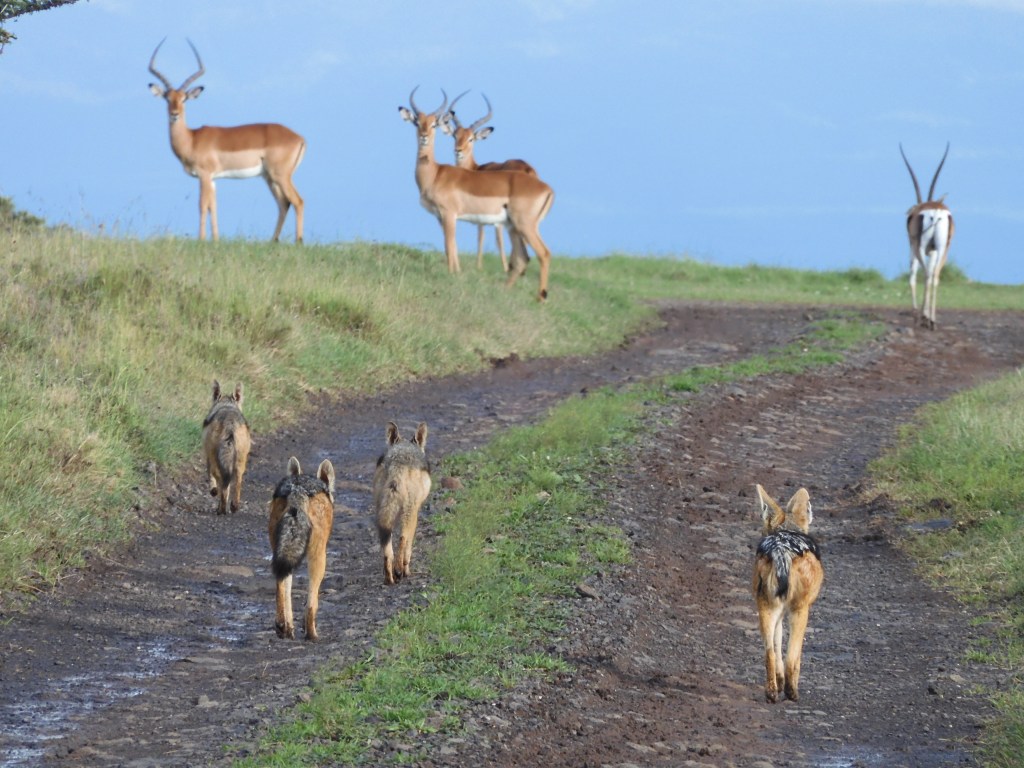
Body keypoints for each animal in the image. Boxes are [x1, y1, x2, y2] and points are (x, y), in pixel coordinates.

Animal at [148, 39, 306, 243]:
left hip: (280, 176)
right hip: (269, 177)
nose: (174, 114)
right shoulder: (213, 179)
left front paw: (201, 239)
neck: (192, 139)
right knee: (283, 203)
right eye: (167, 98)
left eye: (184, 99)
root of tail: (298, 137)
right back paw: (273, 241)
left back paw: (298, 242)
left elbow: (202, 205)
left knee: (297, 201)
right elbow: (213, 206)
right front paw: (215, 240)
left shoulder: (204, 175)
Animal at [441, 92, 539, 271]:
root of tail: (528, 169)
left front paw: (481, 266)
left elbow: (484, 236)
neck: (476, 168)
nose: (458, 151)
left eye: (471, 138)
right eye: (455, 136)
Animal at [752, 484, 824, 703]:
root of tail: (781, 549)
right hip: (799, 612)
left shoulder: (778, 614)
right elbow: (794, 659)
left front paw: (779, 681)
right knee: (792, 658)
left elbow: (776, 652)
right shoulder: (796, 611)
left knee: (769, 654)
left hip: (766, 609)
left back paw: (772, 693)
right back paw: (793, 694)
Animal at [900, 143, 955, 330]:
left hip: (920, 247)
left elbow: (911, 276)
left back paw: (923, 318)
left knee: (925, 274)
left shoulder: (913, 248)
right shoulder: (933, 251)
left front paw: (917, 314)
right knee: (935, 275)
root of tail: (936, 210)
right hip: (942, 248)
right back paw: (932, 320)